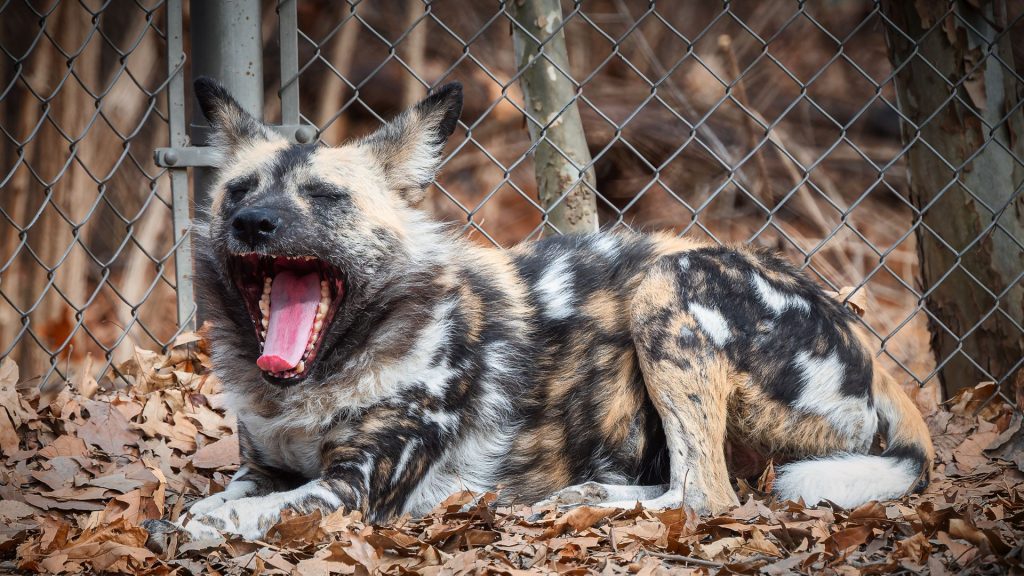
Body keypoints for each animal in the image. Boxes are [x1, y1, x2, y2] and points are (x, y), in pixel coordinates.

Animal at [180, 76, 933, 537]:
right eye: (238, 190)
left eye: (325, 197)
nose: (253, 224)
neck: (312, 385)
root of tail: (864, 345)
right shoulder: (262, 468)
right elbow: (229, 494)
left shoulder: (353, 490)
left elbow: (252, 512)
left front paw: (198, 528)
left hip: (667, 285)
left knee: (706, 495)